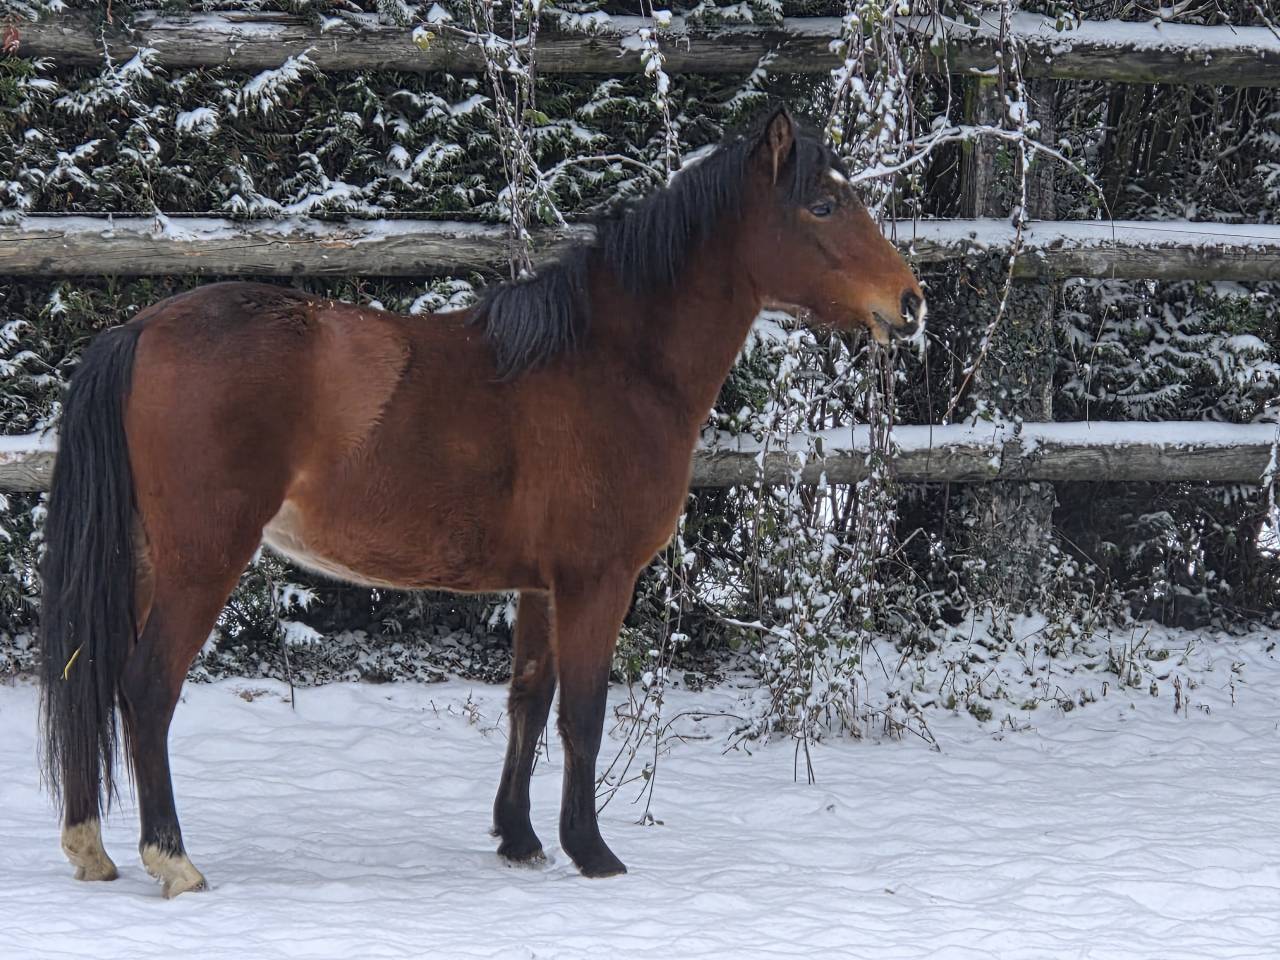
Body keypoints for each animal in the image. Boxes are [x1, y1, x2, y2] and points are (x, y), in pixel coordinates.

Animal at [38, 107, 926, 898]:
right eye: (822, 205)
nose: (909, 300)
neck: (612, 362)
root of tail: (141, 329)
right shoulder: (598, 580)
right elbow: (584, 713)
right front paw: (591, 851)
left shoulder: (541, 586)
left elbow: (528, 701)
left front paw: (520, 838)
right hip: (202, 560)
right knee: (147, 687)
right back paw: (173, 860)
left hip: (142, 560)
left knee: (96, 673)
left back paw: (90, 847)